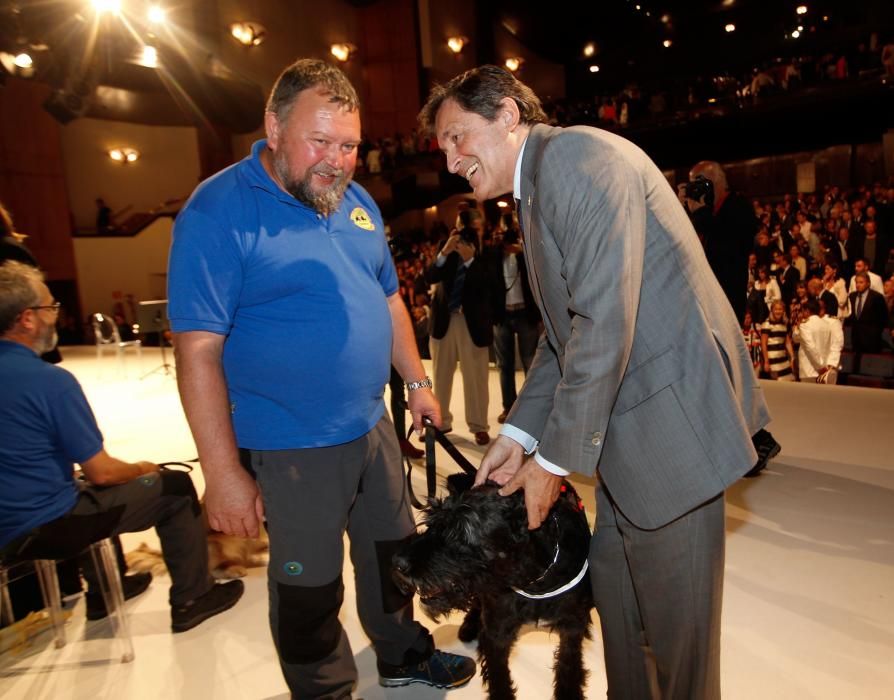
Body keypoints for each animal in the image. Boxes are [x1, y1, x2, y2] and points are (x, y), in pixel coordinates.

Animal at [394, 474, 596, 696]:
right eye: (431, 521)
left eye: (461, 532)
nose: (399, 563)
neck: (534, 582)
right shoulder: (496, 631)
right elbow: (499, 677)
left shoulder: (573, 626)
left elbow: (568, 666)